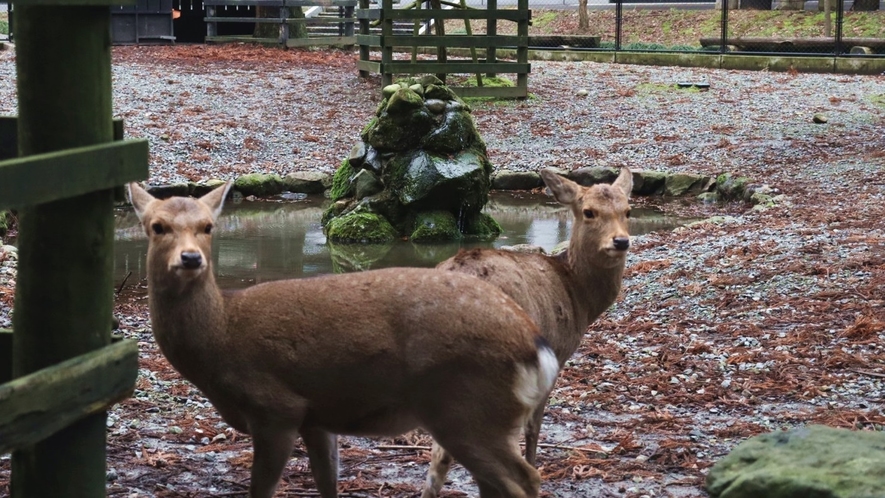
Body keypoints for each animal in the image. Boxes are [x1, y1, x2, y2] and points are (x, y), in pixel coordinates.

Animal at [126, 182, 560, 498]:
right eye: (157, 226)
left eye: (208, 227)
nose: (190, 258)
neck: (220, 339)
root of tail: (535, 345)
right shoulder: (316, 416)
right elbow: (326, 483)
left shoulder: (275, 408)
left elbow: (262, 490)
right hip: (486, 416)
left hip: (465, 408)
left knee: (525, 479)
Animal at [420, 168, 628, 498]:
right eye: (589, 212)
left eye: (628, 211)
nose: (621, 241)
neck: (579, 298)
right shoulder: (555, 355)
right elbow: (534, 427)